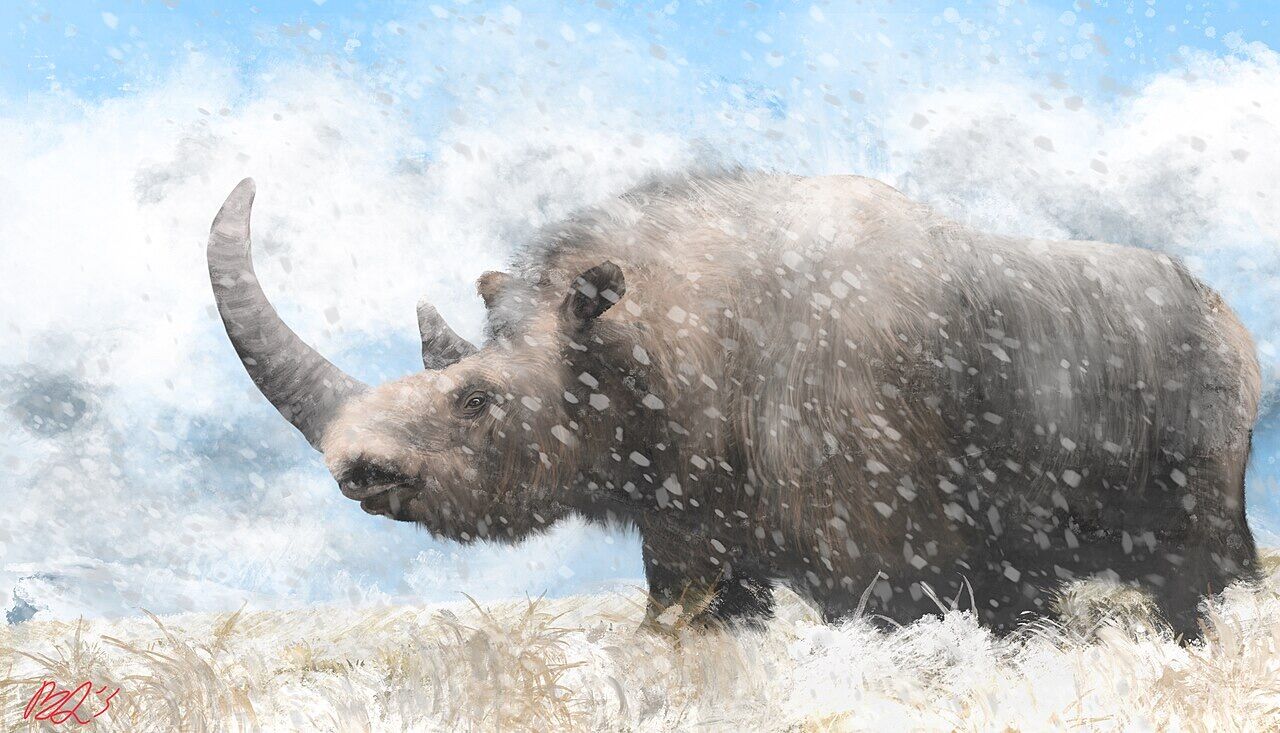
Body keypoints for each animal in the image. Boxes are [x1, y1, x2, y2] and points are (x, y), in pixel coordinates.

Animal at [208, 171, 1260, 639]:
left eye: (475, 399)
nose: (360, 471)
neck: (652, 338)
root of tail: (1236, 320)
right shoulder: (692, 536)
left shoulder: (888, 560)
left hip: (1209, 411)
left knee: (1193, 570)